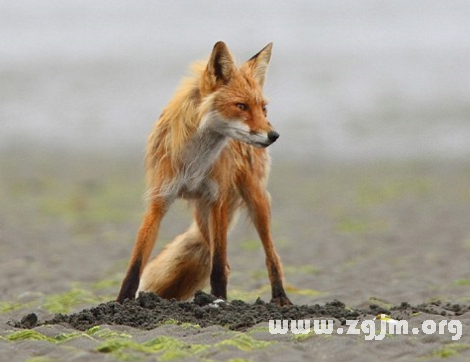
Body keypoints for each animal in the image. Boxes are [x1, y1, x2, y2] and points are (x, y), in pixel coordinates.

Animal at [117, 41, 292, 306]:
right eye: (241, 106)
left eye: (263, 109)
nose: (274, 135)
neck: (194, 162)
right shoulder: (159, 199)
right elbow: (135, 263)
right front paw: (120, 303)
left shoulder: (217, 199)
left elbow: (218, 268)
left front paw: (219, 301)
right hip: (201, 217)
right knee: (222, 261)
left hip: (255, 200)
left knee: (270, 256)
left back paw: (280, 298)